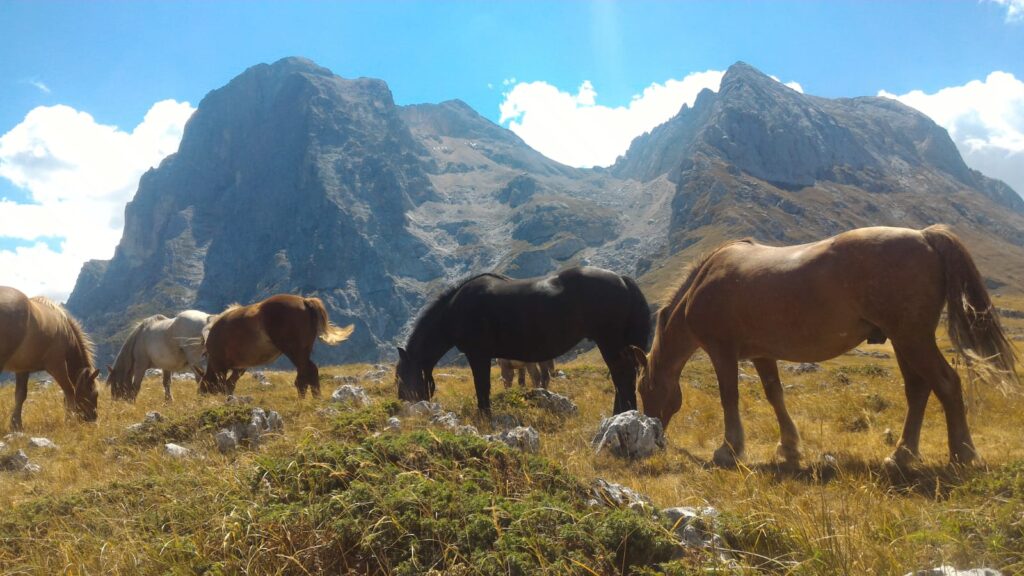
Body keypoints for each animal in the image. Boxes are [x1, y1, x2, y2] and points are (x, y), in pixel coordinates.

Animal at [0, 286, 101, 430]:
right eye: (95, 393)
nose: (93, 419)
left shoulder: (22, 369)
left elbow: (20, 395)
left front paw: (16, 425)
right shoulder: (57, 365)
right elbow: (69, 390)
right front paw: (70, 420)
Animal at [107, 310, 244, 402]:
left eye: (114, 384)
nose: (116, 402)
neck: (139, 338)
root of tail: (208, 320)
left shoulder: (140, 366)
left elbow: (136, 386)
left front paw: (133, 401)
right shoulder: (166, 366)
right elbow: (166, 383)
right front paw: (168, 401)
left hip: (196, 360)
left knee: (202, 377)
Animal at [198, 294, 355, 397]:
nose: (200, 394)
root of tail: (304, 301)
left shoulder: (220, 366)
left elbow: (224, 385)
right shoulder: (240, 368)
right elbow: (230, 384)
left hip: (294, 351)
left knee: (305, 376)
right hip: (303, 351)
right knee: (308, 374)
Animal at [396, 266, 650, 415]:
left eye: (400, 376)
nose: (402, 404)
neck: (454, 310)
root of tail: (623, 280)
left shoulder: (478, 355)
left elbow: (482, 387)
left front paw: (485, 417)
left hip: (610, 342)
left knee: (622, 376)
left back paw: (621, 414)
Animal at [633, 225, 1019, 469]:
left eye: (645, 389)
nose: (656, 435)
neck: (703, 282)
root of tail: (924, 235)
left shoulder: (722, 351)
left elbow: (730, 397)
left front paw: (729, 449)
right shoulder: (761, 354)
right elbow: (775, 395)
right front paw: (788, 446)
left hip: (913, 338)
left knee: (947, 384)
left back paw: (962, 453)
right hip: (903, 340)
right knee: (919, 389)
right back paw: (903, 454)